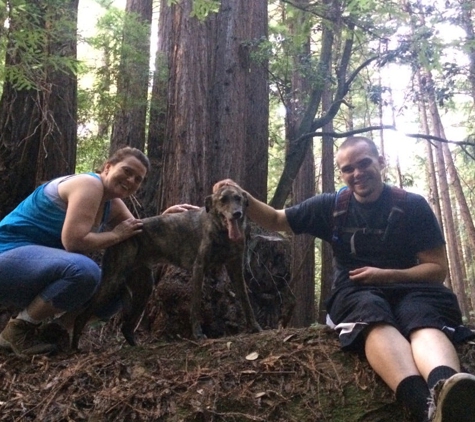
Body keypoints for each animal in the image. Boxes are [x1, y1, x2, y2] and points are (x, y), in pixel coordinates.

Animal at [72, 185, 262, 350]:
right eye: (223, 200)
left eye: (238, 198)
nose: (237, 214)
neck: (221, 232)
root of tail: (116, 235)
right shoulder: (199, 268)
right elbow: (195, 306)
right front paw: (197, 334)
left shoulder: (235, 267)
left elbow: (245, 300)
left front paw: (255, 327)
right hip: (112, 281)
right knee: (83, 313)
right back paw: (74, 346)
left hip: (144, 288)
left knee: (126, 327)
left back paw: (136, 347)